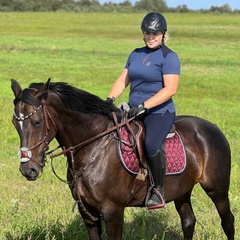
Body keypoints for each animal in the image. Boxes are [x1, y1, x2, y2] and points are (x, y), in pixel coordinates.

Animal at [11, 79, 234, 240]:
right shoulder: (88, 212)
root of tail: (213, 128)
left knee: (228, 222)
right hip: (182, 191)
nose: (28, 170)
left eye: (37, 122)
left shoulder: (113, 211)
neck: (93, 146)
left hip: (217, 189)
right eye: (15, 122)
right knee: (188, 222)